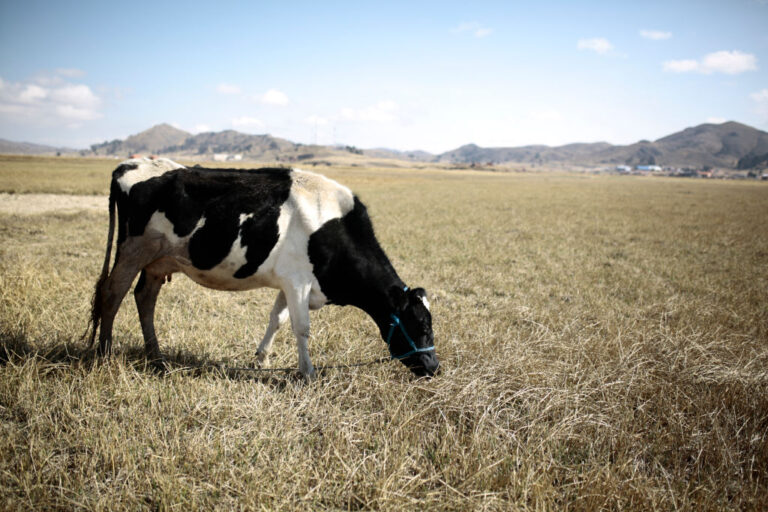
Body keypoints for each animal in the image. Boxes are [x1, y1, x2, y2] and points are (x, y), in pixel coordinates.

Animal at [87, 157, 439, 379]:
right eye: (421, 325)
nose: (434, 367)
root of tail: (128, 166)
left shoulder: (289, 282)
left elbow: (277, 321)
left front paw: (261, 360)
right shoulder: (298, 282)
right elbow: (301, 327)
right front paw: (308, 374)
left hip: (158, 262)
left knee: (144, 298)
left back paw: (157, 360)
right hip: (133, 250)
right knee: (112, 293)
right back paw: (104, 355)